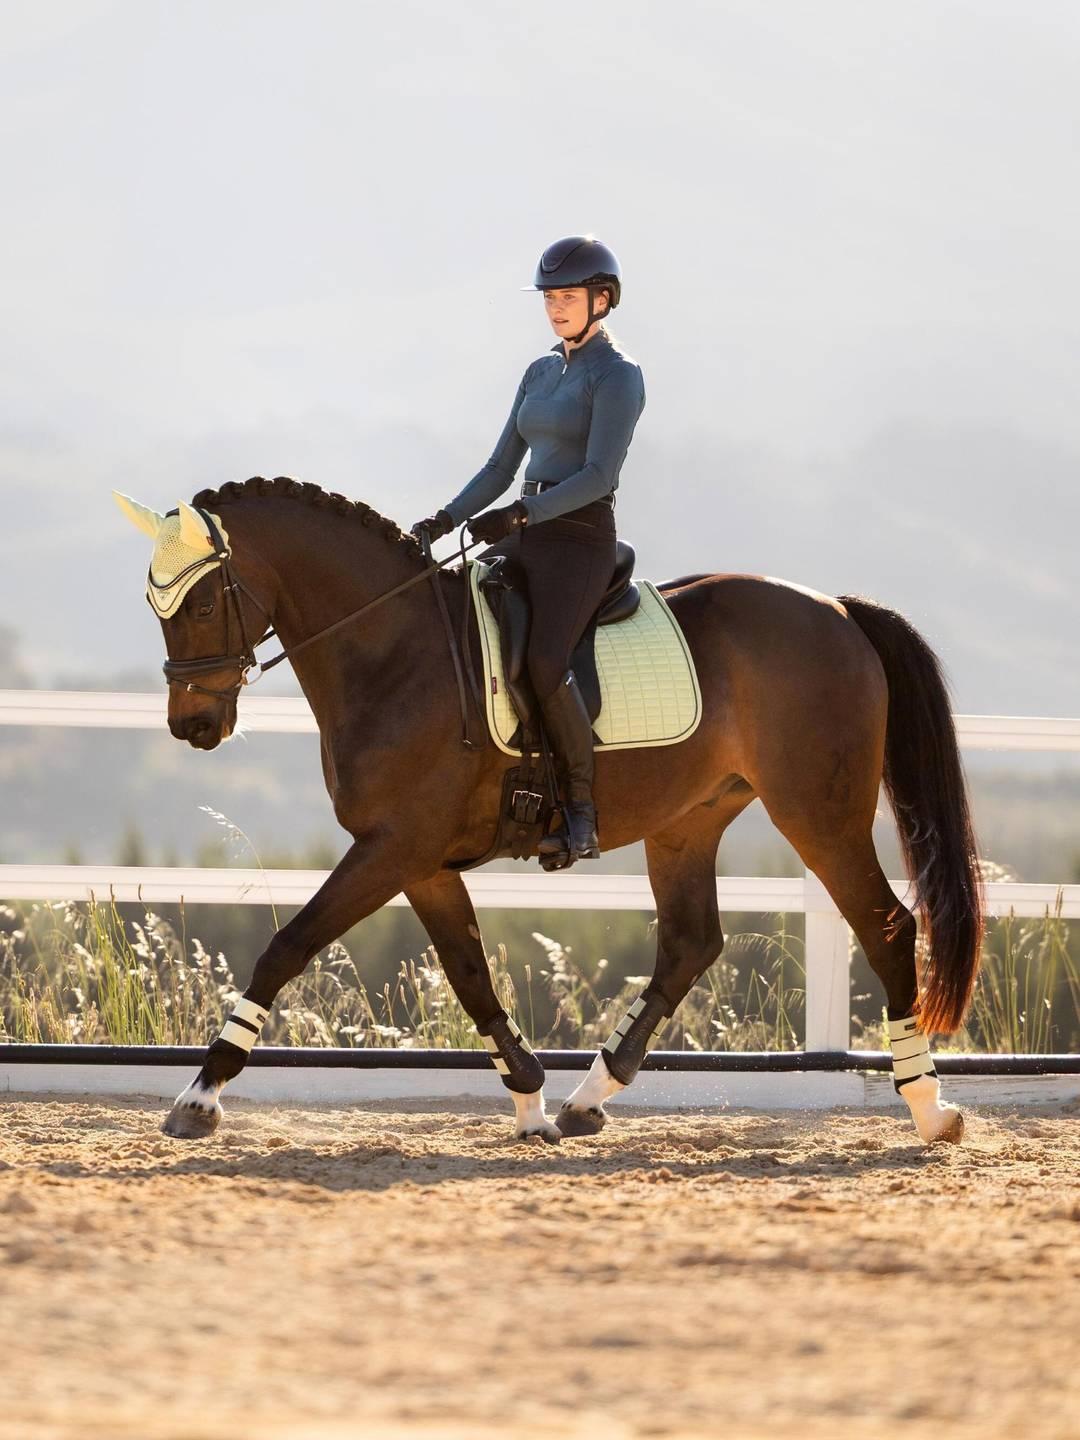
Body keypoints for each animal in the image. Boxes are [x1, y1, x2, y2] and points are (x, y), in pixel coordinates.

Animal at [113, 475, 983, 1146]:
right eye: (156, 607)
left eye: (198, 606)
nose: (193, 726)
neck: (393, 650)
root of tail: (836, 610)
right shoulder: (419, 860)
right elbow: (470, 976)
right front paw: (529, 1099)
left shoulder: (393, 846)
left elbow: (285, 947)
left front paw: (199, 1098)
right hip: (688, 819)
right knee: (691, 944)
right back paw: (586, 1100)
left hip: (817, 811)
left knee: (886, 926)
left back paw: (930, 1110)